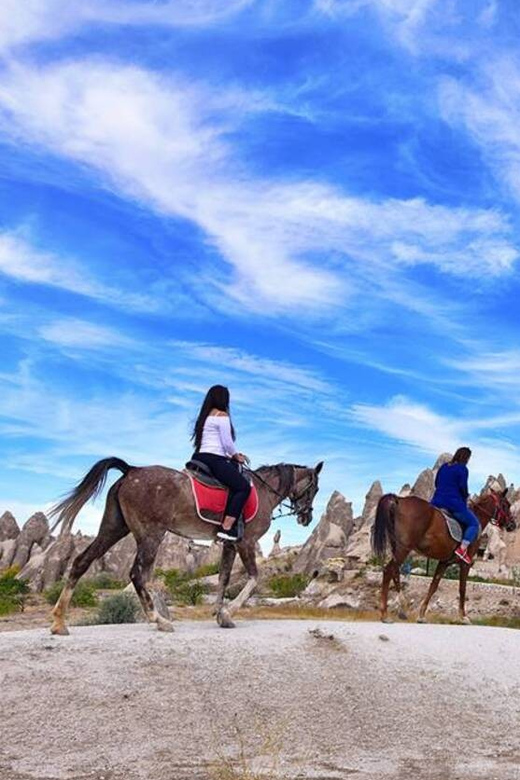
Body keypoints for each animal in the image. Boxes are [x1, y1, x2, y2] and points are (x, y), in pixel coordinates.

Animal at [50, 458, 322, 632]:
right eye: (315, 489)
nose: (306, 518)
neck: (264, 492)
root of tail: (131, 471)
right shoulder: (246, 542)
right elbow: (254, 578)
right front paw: (228, 612)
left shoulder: (230, 544)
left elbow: (223, 577)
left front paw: (220, 615)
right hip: (151, 534)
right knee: (137, 574)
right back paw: (159, 621)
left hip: (114, 528)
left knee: (81, 561)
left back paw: (59, 623)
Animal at [372, 490, 512, 624]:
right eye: (506, 505)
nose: (513, 524)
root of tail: (398, 500)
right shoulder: (465, 564)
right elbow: (462, 588)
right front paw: (463, 617)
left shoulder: (444, 562)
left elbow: (434, 586)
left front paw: (422, 615)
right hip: (403, 549)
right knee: (389, 570)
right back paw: (385, 614)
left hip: (398, 548)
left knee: (395, 572)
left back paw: (402, 607)